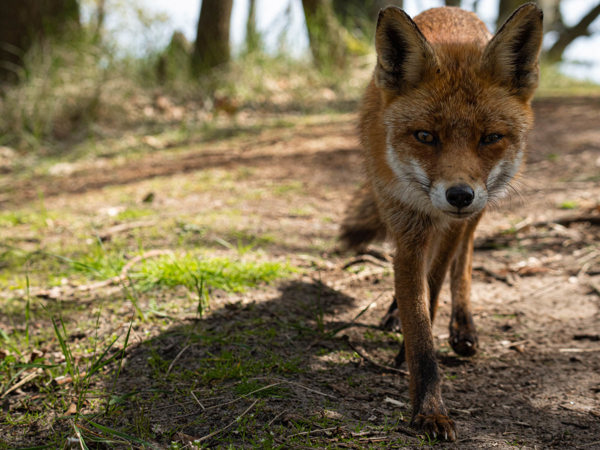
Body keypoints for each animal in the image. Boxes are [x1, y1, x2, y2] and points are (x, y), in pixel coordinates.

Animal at [340, 2, 548, 440]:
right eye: (425, 136)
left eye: (490, 138)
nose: (459, 195)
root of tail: (452, 9)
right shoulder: (406, 225)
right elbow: (417, 316)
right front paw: (429, 410)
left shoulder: (453, 223)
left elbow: (434, 288)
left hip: (480, 208)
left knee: (463, 258)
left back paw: (463, 327)